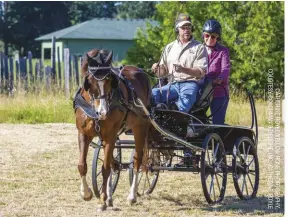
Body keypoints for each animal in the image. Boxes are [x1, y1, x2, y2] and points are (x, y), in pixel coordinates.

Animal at [73, 48, 151, 210]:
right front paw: (86, 193)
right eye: (90, 81)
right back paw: (110, 196)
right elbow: (82, 165)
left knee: (137, 160)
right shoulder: (83, 133)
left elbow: (105, 168)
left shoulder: (110, 135)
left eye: (109, 80)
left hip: (140, 127)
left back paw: (132, 196)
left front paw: (102, 200)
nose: (102, 112)